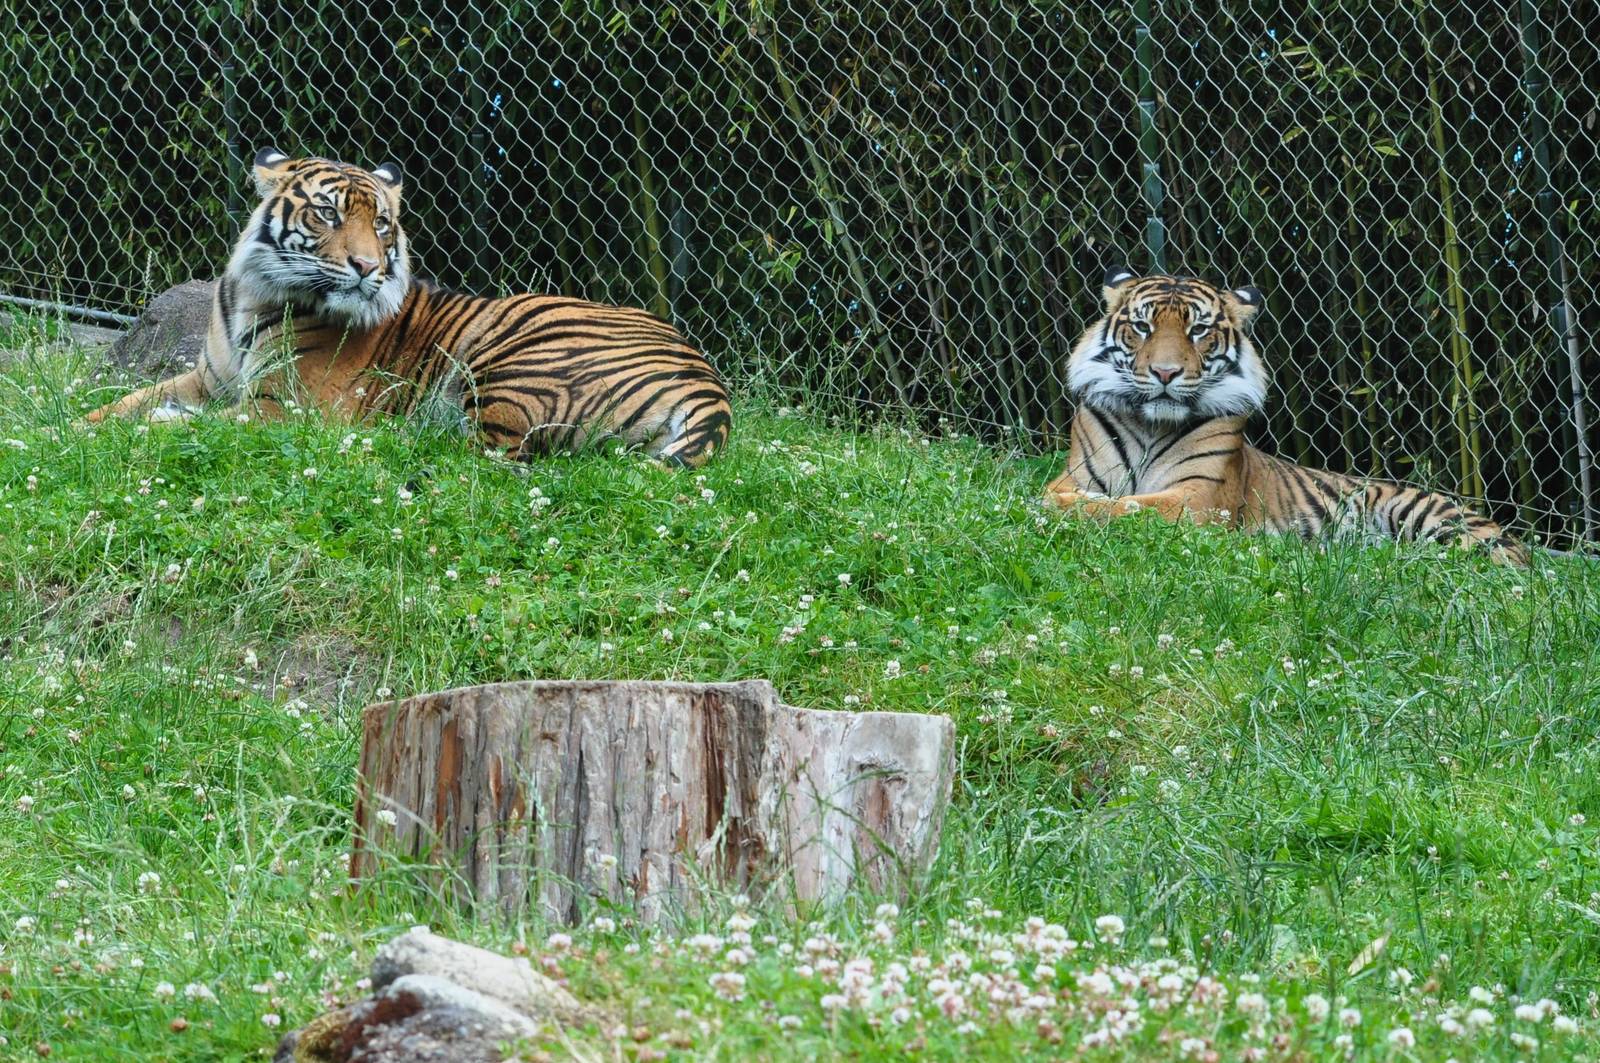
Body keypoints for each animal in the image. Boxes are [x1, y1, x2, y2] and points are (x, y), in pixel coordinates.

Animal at [85, 149, 732, 466]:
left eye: (380, 223)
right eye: (327, 214)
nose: (367, 267)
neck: (257, 291)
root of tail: (707, 380)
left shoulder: (280, 408)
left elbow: (182, 423)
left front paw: (155, 425)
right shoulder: (208, 378)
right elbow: (121, 403)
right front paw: (77, 423)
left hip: (510, 353)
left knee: (491, 449)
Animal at [1044, 267, 1529, 565]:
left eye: (1198, 330)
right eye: (1142, 327)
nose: (1165, 373)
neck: (1150, 423)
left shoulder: (1197, 499)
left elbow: (1128, 506)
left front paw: (1059, 508)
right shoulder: (1076, 475)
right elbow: (1086, 496)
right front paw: (1056, 503)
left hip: (1427, 514)